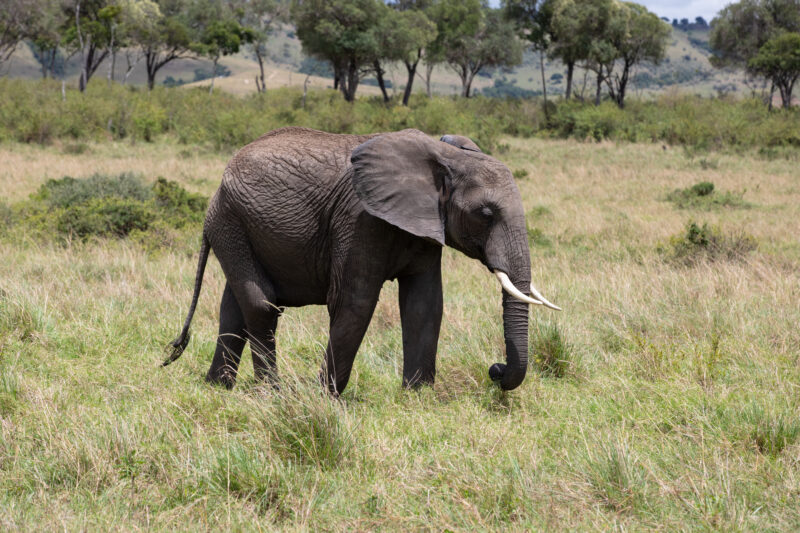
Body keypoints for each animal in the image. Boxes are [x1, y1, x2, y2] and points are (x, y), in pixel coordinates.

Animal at [163, 127, 560, 394]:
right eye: (486, 214)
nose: (495, 369)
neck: (444, 157)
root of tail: (218, 185)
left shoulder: (425, 225)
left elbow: (425, 303)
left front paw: (417, 396)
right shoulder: (359, 221)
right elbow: (354, 302)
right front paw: (326, 397)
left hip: (237, 226)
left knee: (234, 306)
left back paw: (218, 387)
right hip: (230, 220)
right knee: (261, 305)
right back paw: (271, 393)